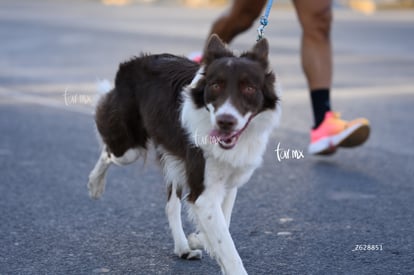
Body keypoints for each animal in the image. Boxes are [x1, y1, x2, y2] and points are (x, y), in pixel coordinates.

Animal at [87, 35, 282, 274]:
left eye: (249, 88)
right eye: (215, 86)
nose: (225, 122)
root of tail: (132, 62)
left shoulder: (228, 179)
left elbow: (222, 224)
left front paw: (199, 239)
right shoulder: (204, 191)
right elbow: (227, 245)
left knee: (171, 204)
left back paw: (183, 248)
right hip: (128, 149)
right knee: (108, 150)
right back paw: (95, 185)